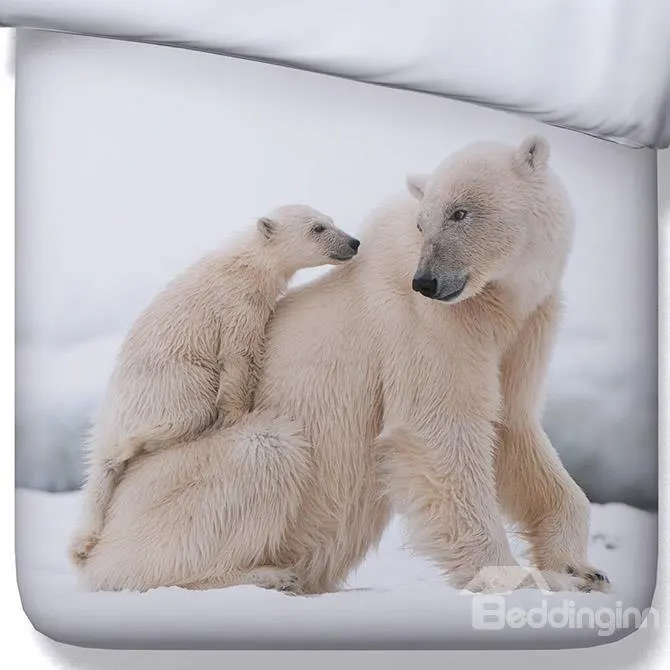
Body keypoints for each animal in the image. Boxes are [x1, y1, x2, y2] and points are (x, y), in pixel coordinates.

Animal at [69, 204, 360, 568]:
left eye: (332, 221)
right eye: (317, 228)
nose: (353, 242)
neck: (248, 263)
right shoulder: (236, 304)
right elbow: (238, 355)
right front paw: (236, 415)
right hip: (172, 384)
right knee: (184, 410)